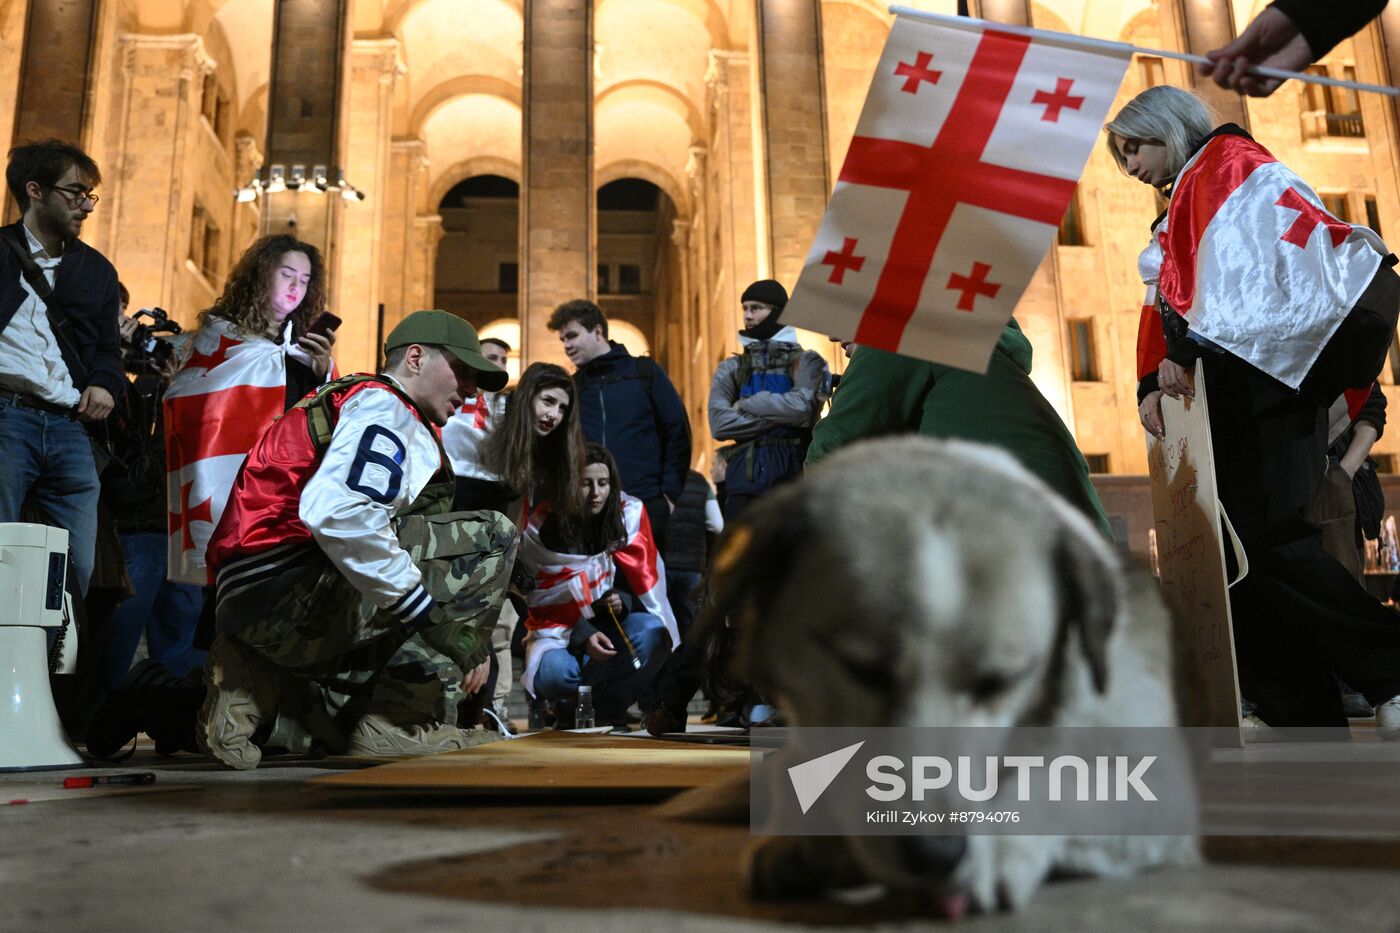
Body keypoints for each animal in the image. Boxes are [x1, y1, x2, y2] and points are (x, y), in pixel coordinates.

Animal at [705, 437, 1198, 913]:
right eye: (860, 668)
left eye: (1001, 682)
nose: (936, 853)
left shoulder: (1158, 786)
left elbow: (1063, 781)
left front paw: (994, 847)